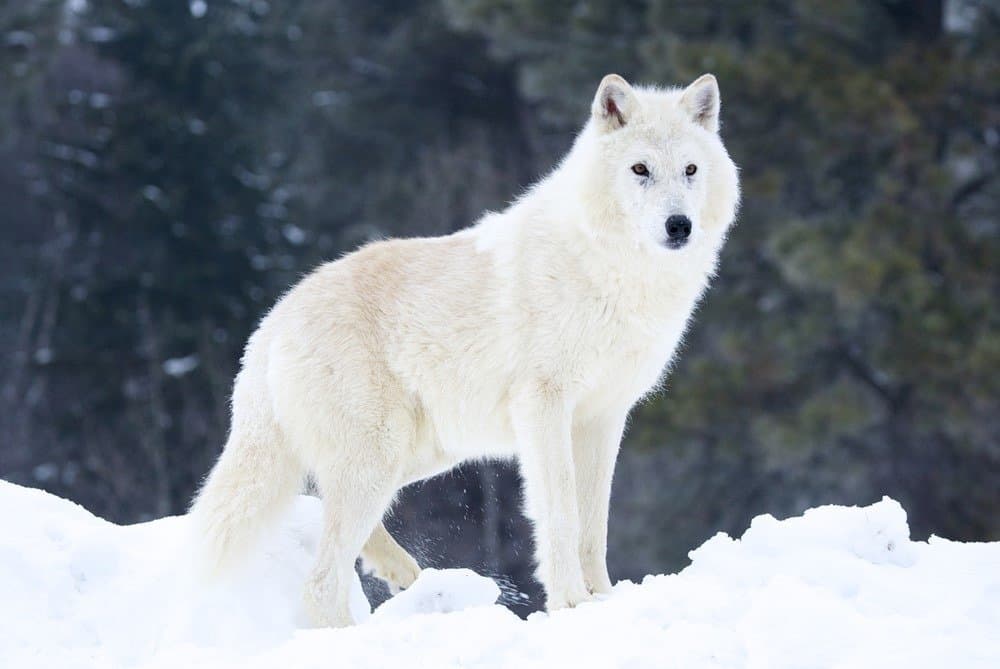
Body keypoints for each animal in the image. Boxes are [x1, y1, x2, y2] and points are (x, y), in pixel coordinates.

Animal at [189, 73, 736, 628]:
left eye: (690, 170)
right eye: (640, 169)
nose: (679, 225)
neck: (614, 271)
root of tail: (272, 322)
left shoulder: (603, 417)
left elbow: (593, 525)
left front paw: (603, 598)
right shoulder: (544, 407)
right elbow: (561, 514)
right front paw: (571, 603)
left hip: (418, 457)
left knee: (327, 511)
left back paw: (403, 572)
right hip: (380, 458)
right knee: (320, 583)